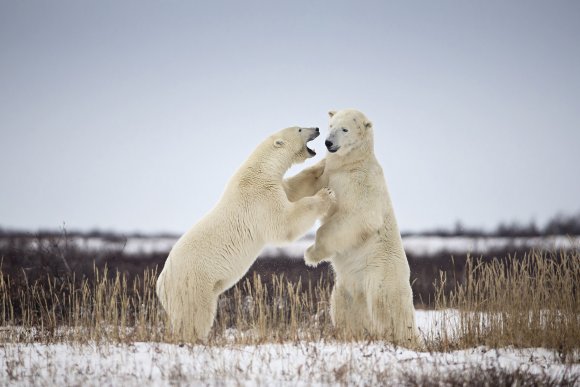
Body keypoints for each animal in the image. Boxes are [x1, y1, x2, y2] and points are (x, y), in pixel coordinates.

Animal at [156, 127, 338, 342]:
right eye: (300, 128)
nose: (316, 128)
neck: (260, 170)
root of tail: (160, 285)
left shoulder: (275, 186)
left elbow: (294, 189)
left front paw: (321, 165)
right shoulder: (260, 197)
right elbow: (283, 223)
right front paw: (325, 194)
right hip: (192, 285)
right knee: (194, 317)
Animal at [284, 110, 420, 348]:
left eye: (345, 129)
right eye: (331, 125)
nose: (328, 143)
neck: (351, 163)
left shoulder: (362, 183)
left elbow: (358, 216)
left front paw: (311, 254)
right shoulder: (329, 173)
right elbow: (307, 184)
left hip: (381, 278)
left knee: (390, 311)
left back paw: (408, 340)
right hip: (346, 287)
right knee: (345, 311)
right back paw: (351, 335)